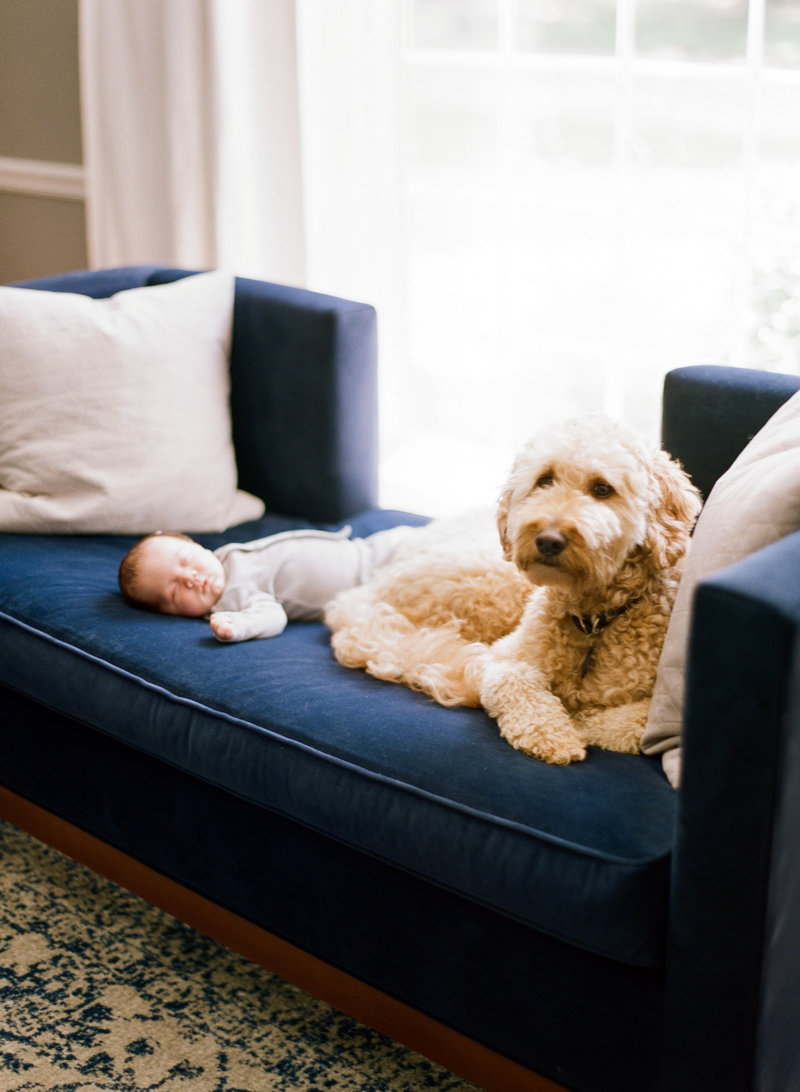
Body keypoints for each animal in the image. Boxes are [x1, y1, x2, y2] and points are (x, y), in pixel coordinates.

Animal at [325, 412, 698, 764]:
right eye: (544, 479)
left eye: (603, 489)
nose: (548, 539)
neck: (594, 620)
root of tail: (368, 589)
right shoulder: (503, 658)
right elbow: (514, 680)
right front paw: (554, 734)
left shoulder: (655, 708)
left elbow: (625, 724)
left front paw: (579, 723)